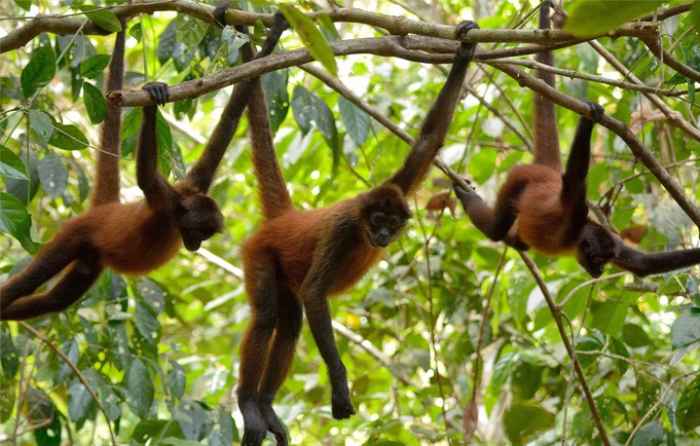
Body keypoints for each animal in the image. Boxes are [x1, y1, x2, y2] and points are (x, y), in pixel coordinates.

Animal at [0, 15, 290, 318]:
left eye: (206, 237)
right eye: (199, 233)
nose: (197, 246)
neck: (177, 214)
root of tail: (106, 210)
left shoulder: (194, 184)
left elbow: (230, 120)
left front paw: (268, 41)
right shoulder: (164, 198)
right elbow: (145, 177)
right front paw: (150, 103)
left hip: (91, 255)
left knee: (55, 300)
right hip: (75, 233)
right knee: (27, 282)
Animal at [238, 17, 478, 446]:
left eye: (392, 225)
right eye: (376, 222)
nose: (382, 238)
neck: (362, 222)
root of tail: (287, 219)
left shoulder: (396, 190)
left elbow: (429, 140)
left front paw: (465, 51)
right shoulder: (343, 227)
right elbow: (316, 293)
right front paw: (339, 384)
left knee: (290, 325)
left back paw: (265, 406)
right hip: (260, 253)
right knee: (267, 318)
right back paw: (249, 404)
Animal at [452, 2, 700, 276]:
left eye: (607, 261)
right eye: (599, 259)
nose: (600, 272)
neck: (575, 238)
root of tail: (546, 171)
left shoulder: (613, 241)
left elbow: (642, 264)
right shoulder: (573, 214)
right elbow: (574, 180)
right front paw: (589, 118)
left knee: (514, 238)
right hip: (518, 178)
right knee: (496, 230)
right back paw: (472, 202)